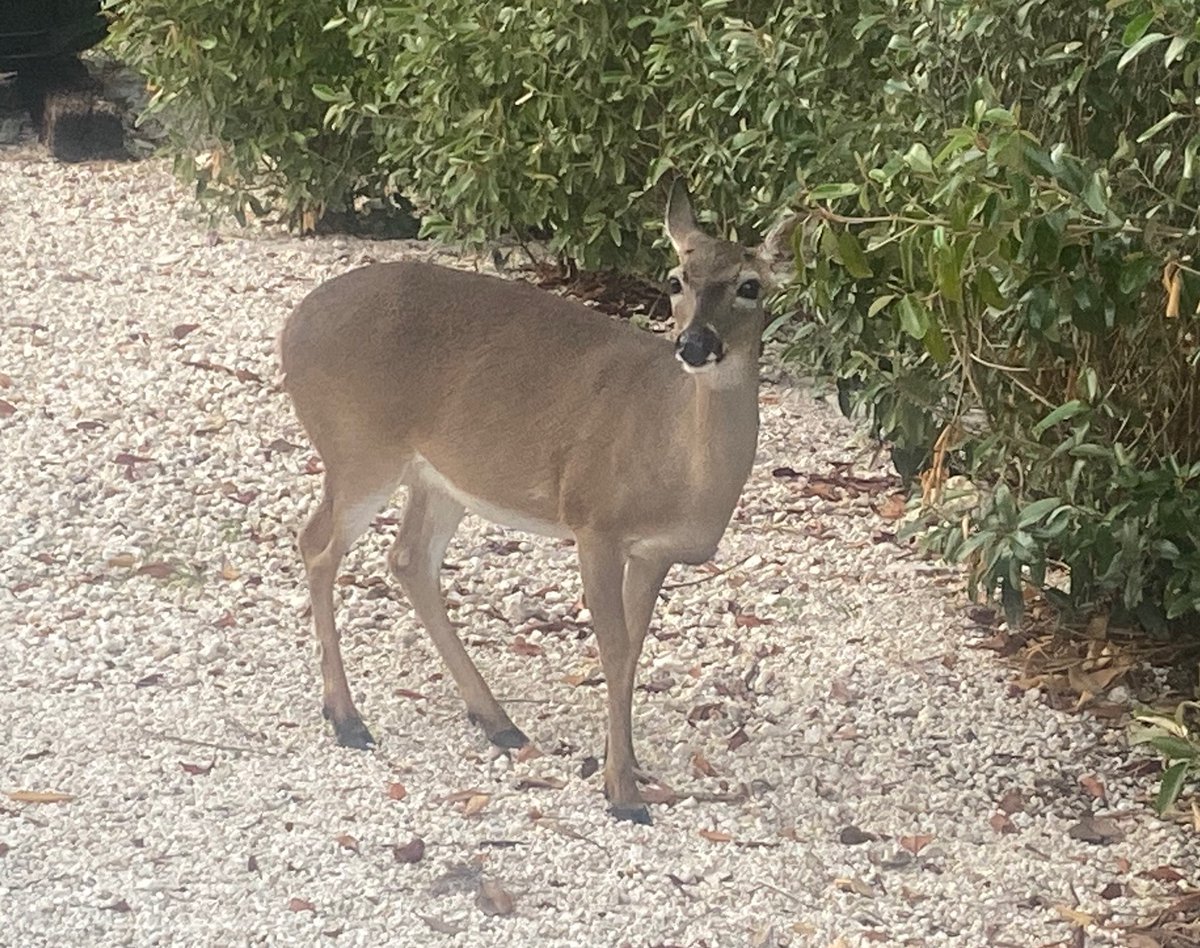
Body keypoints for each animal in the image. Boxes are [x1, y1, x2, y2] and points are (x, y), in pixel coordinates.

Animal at [278, 183, 793, 824]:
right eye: (676, 279)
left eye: (750, 285)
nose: (695, 344)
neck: (679, 466)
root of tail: (291, 328)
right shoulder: (593, 521)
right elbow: (613, 648)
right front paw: (622, 792)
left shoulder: (655, 552)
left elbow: (632, 649)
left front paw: (624, 768)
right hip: (359, 449)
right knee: (318, 545)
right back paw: (348, 719)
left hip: (440, 478)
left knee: (408, 559)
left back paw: (496, 721)